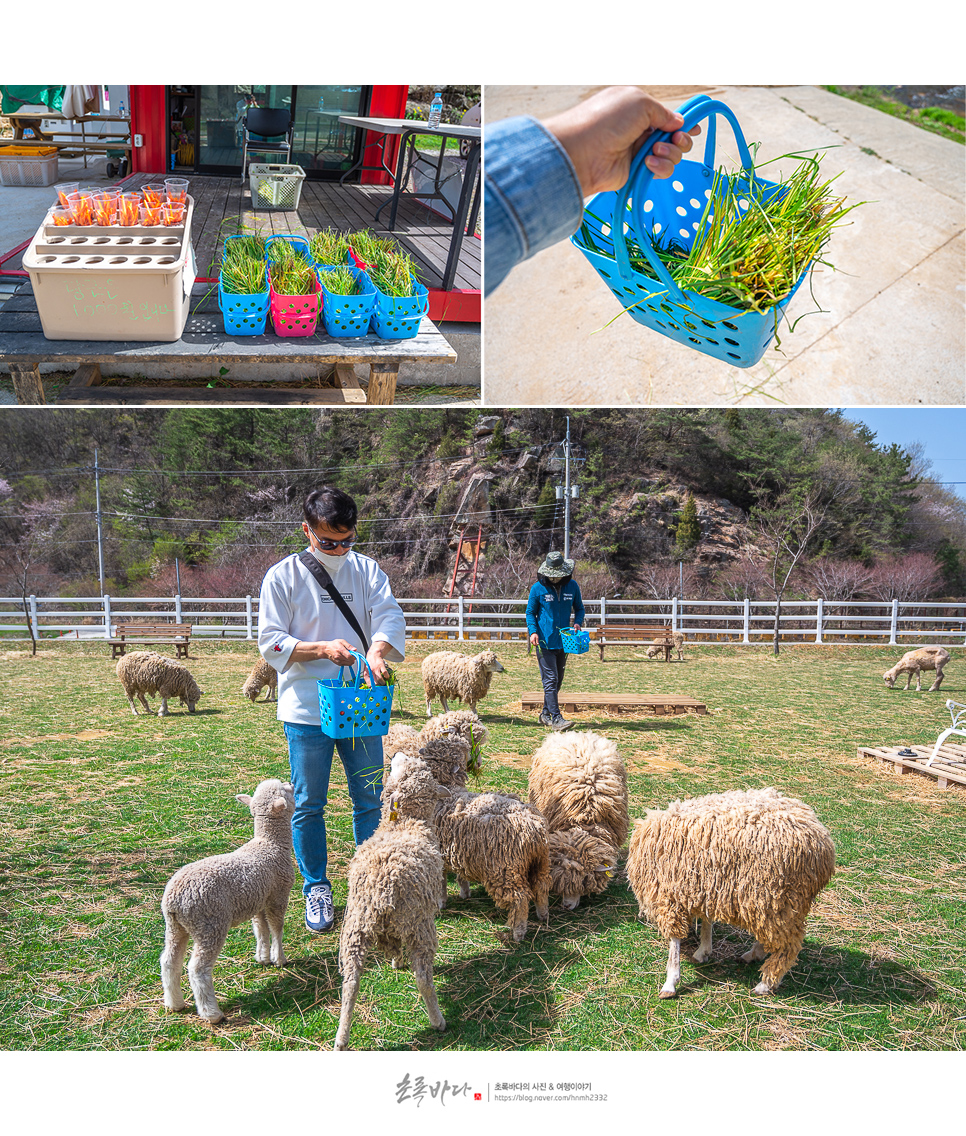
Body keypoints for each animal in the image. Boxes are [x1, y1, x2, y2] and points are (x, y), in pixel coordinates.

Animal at [160, 777, 295, 1026]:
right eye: (284, 789)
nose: (290, 781)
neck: (269, 844)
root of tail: (173, 900)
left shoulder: (258, 900)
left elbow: (260, 930)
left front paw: (262, 958)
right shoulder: (277, 896)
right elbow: (276, 928)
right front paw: (279, 958)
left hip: (175, 927)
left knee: (169, 961)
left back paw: (175, 1003)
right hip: (209, 923)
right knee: (197, 969)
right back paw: (212, 1013)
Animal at [334, 749, 450, 1049]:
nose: (397, 753)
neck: (404, 824)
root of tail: (383, 884)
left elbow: (394, 944)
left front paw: (396, 961)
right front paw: (399, 962)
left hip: (356, 925)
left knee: (350, 982)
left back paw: (341, 1037)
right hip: (419, 922)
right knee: (423, 977)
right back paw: (438, 1020)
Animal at [434, 786, 550, 945]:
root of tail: (535, 829)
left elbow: (441, 883)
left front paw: (440, 904)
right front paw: (464, 892)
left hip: (505, 870)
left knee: (520, 900)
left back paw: (518, 933)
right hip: (540, 862)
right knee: (541, 887)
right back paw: (543, 915)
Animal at [622, 786, 831, 999]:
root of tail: (823, 845)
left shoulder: (669, 895)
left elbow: (675, 941)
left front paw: (671, 981)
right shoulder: (703, 887)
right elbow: (707, 919)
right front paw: (704, 951)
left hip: (778, 897)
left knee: (789, 945)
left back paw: (765, 984)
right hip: (772, 903)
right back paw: (753, 955)